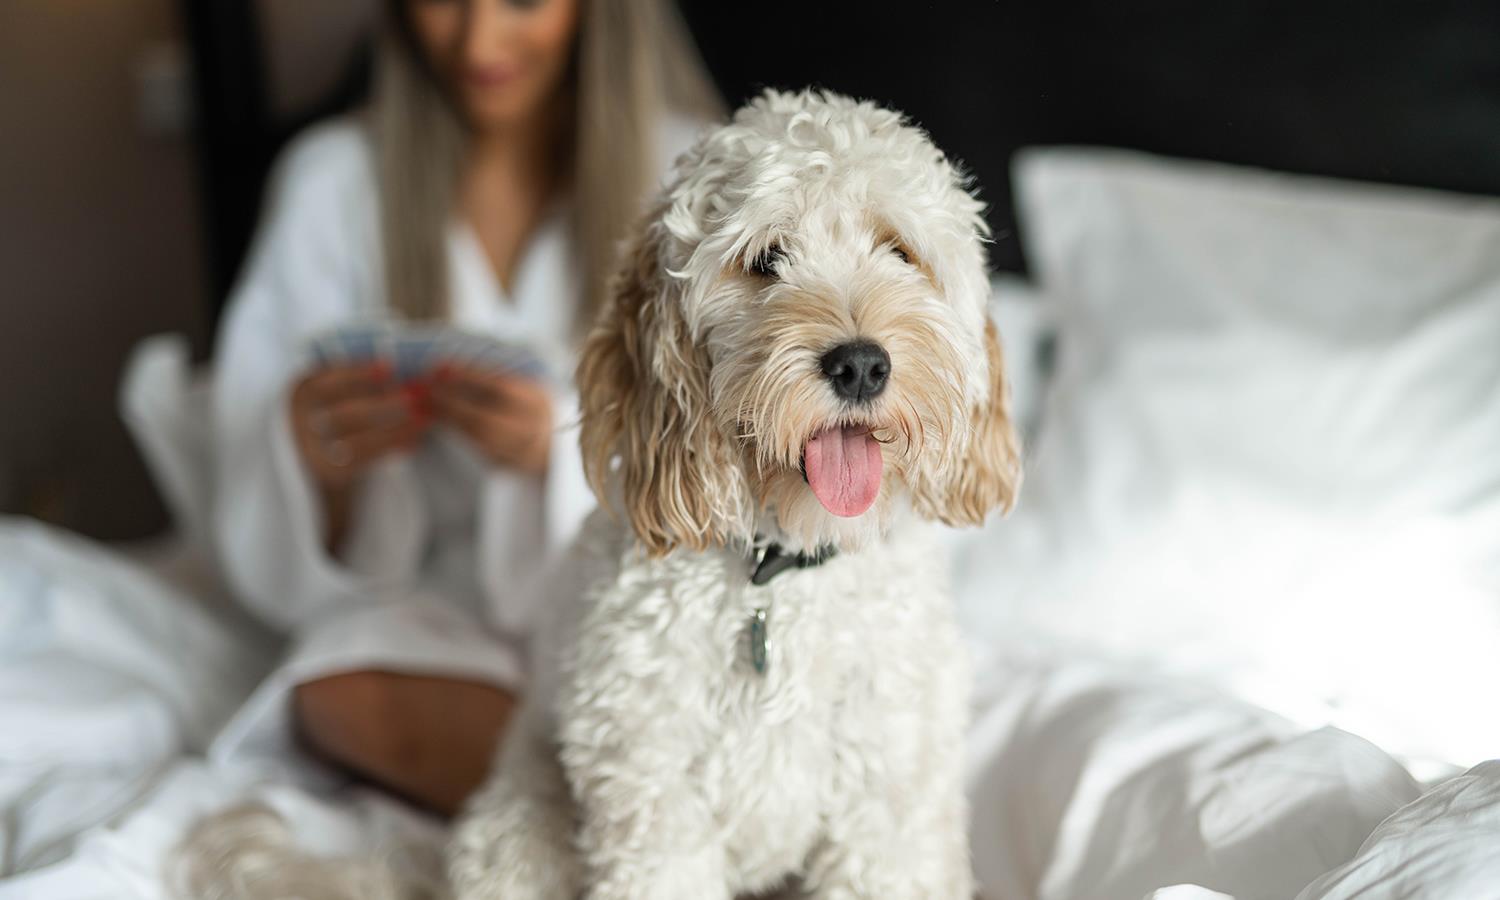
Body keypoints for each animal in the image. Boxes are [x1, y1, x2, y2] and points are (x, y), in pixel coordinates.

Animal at [444, 89, 1020, 900]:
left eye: (899, 251)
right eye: (766, 259)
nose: (861, 365)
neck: (781, 570)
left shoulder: (887, 804)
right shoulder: (651, 796)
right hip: (514, 830)